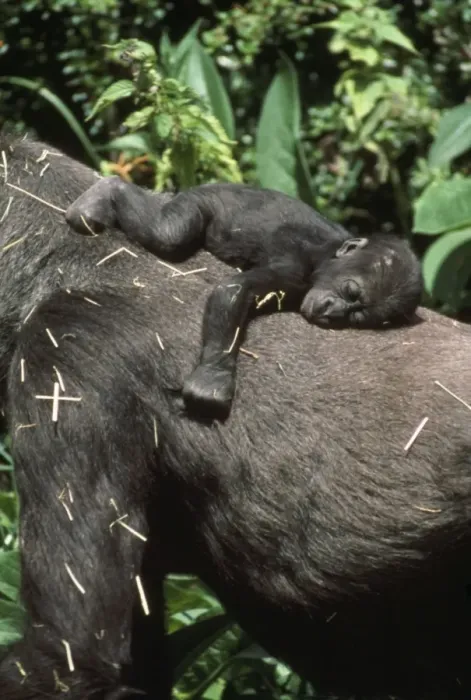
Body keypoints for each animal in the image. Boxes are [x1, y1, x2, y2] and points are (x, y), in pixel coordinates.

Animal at [65, 180, 423, 414]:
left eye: (358, 316)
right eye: (350, 291)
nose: (333, 312)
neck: (328, 256)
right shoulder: (295, 266)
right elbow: (235, 291)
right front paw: (213, 378)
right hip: (199, 202)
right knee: (166, 233)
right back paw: (107, 192)